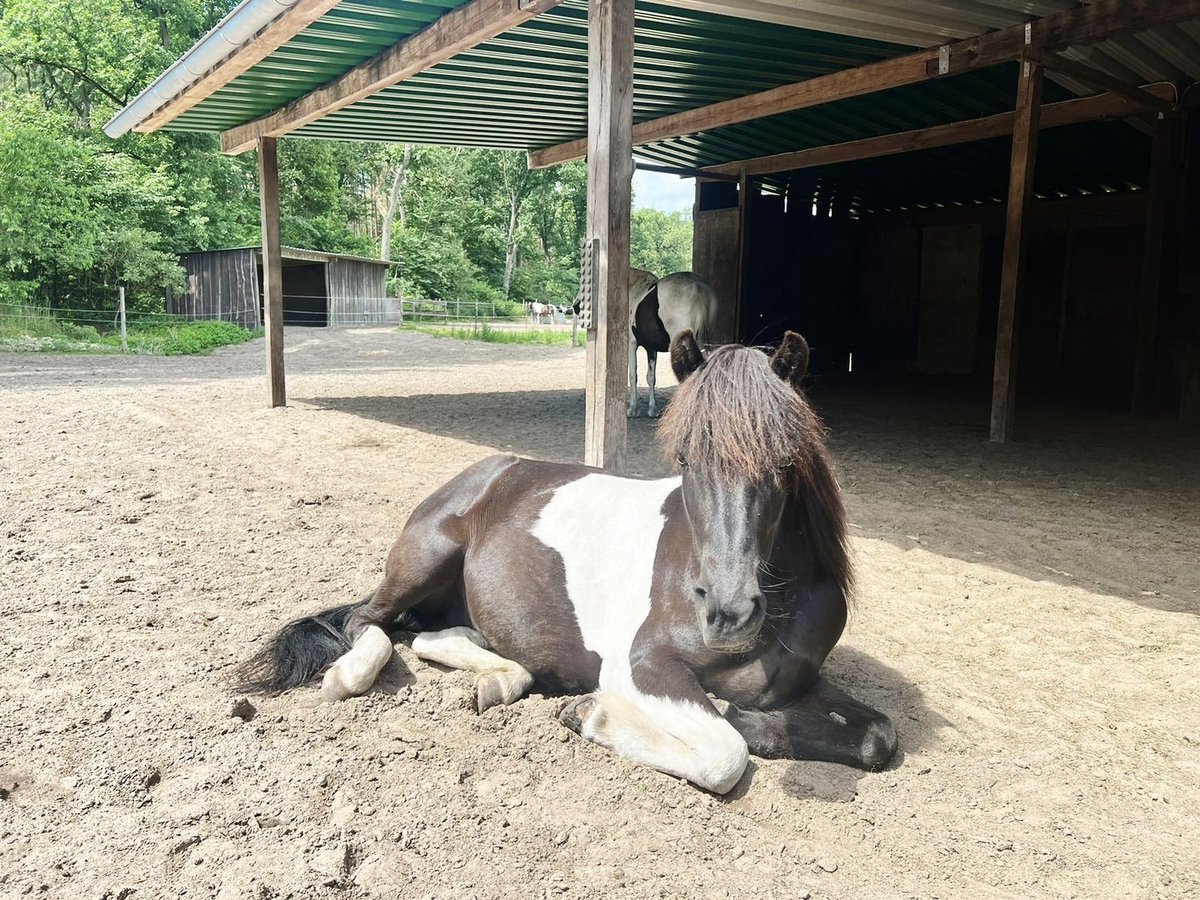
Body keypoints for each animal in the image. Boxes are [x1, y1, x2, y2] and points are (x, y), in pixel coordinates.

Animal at [236, 333, 892, 796]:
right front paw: (592, 716)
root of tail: (490, 471)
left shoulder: (803, 683)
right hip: (424, 557)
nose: (728, 612)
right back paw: (348, 675)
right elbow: (725, 753)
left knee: (432, 637)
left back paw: (503, 679)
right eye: (684, 457)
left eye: (785, 461)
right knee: (367, 622)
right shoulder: (642, 666)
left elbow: (877, 738)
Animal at [628, 267, 710, 420]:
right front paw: (652, 409)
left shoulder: (632, 344)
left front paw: (632, 409)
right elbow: (651, 378)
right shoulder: (651, 348)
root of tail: (697, 288)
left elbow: (633, 376)